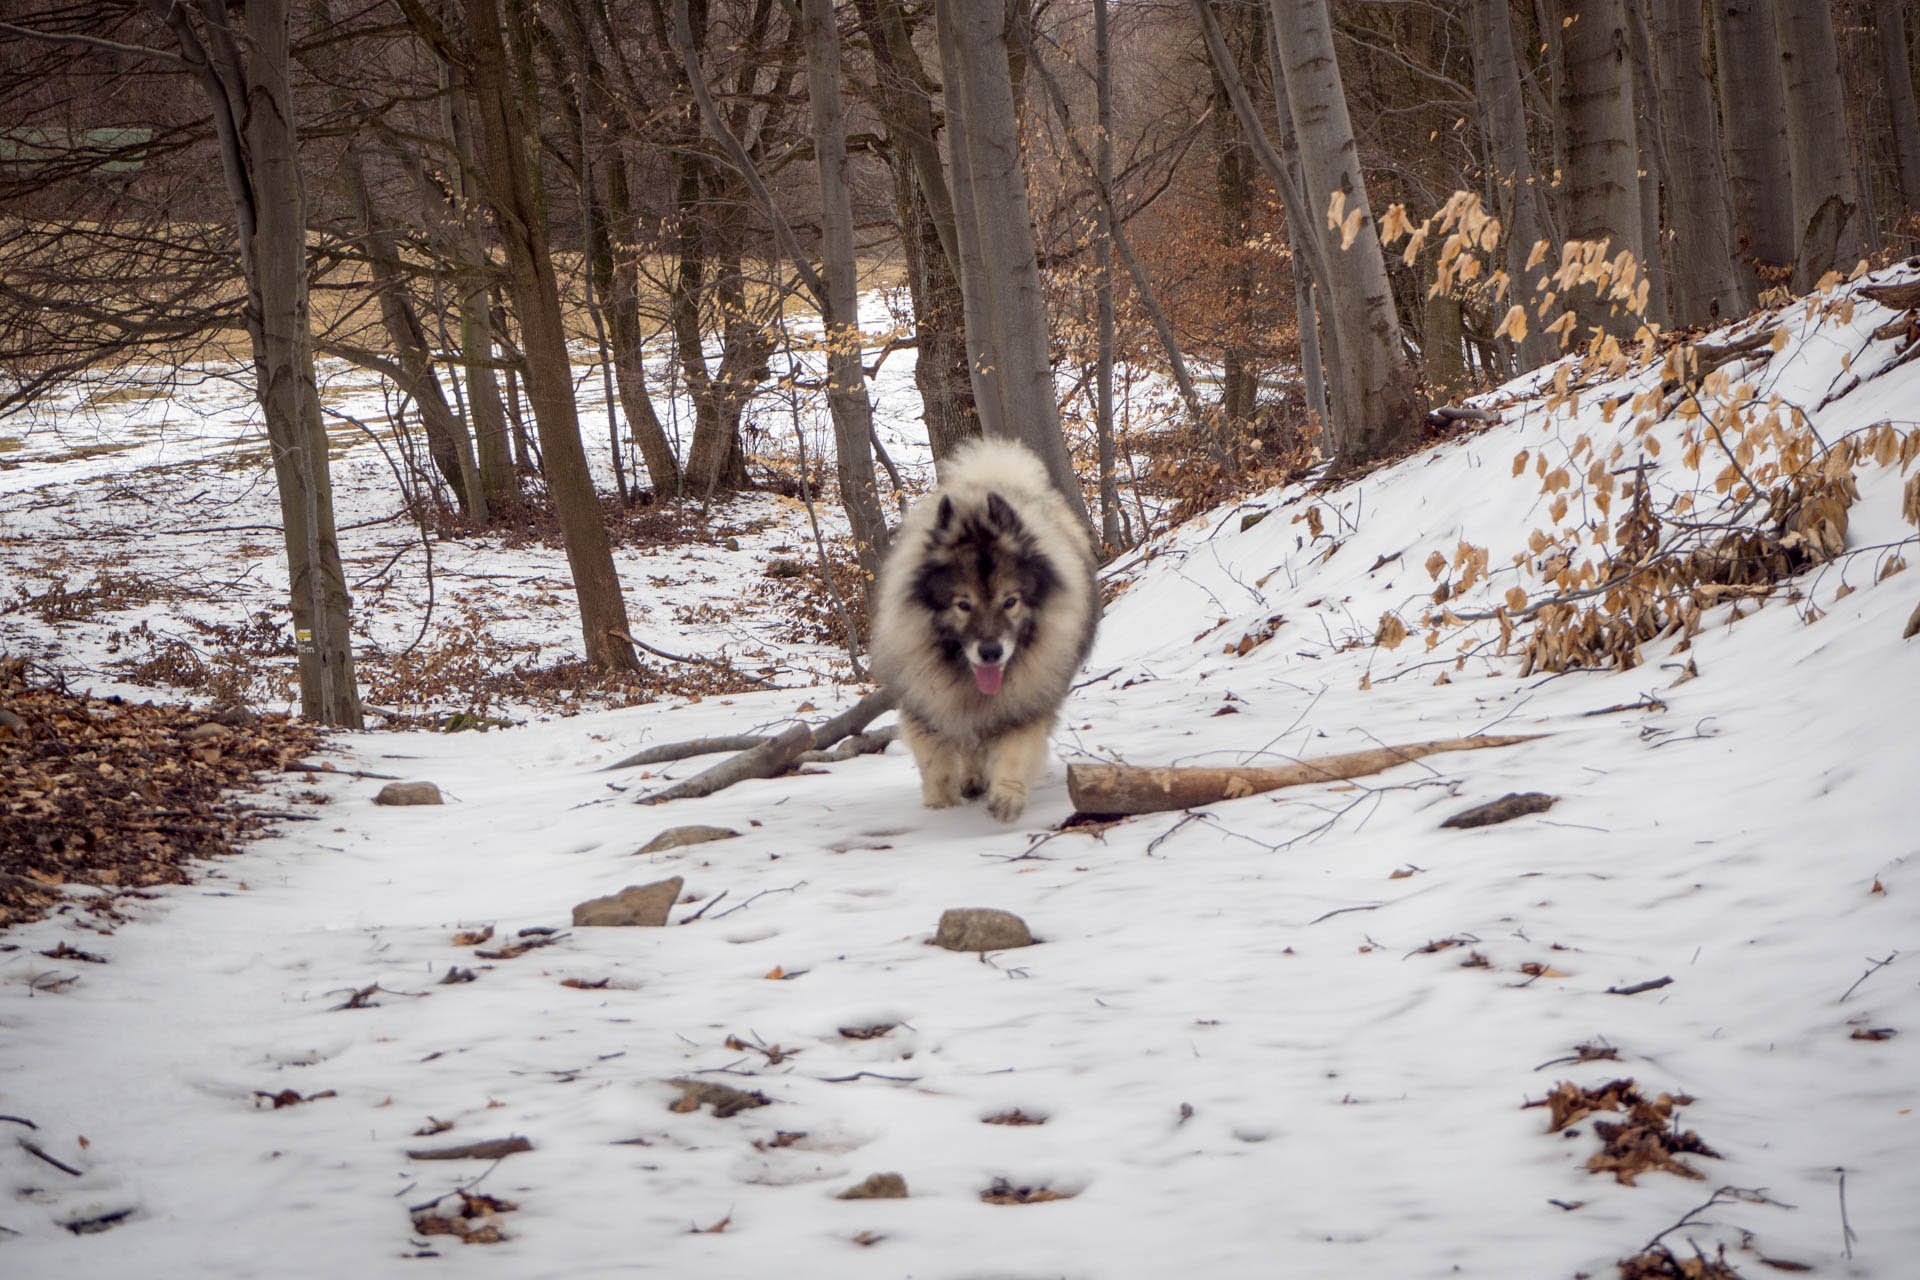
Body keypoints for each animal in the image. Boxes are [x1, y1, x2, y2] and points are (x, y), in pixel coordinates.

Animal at [871, 437, 1098, 821]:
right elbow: (936, 760)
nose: (991, 652)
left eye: (1010, 601)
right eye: (963, 605)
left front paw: (1007, 797)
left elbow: (1016, 748)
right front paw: (940, 806)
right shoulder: (926, 701)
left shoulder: (1027, 698)